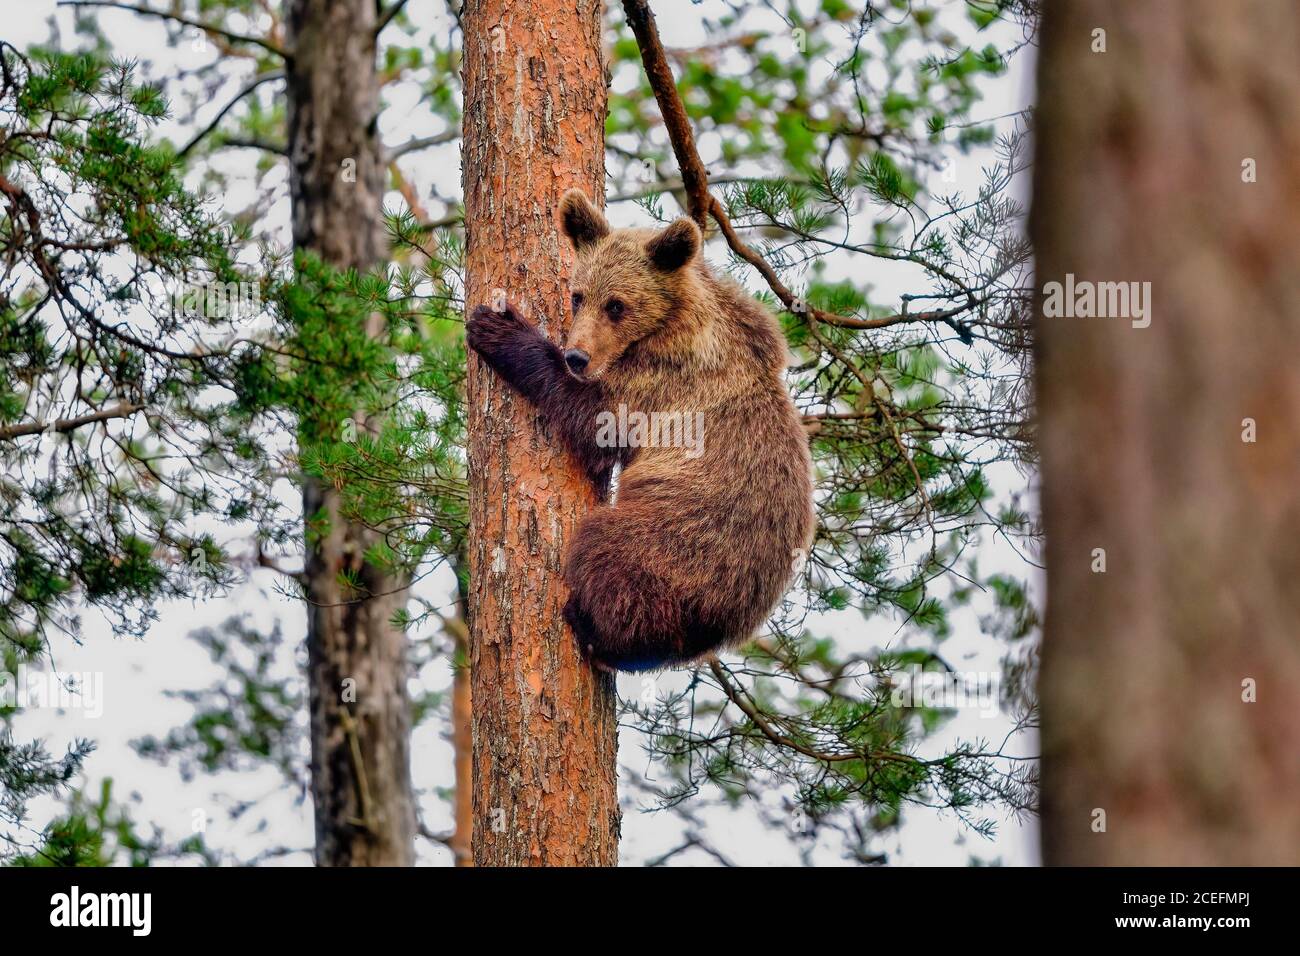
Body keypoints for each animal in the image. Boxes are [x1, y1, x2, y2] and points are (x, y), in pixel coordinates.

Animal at [466, 188, 814, 672]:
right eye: (578, 297)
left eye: (616, 305)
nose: (577, 356)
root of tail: (721, 621)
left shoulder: (660, 384)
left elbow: (591, 420)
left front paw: (498, 327)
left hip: (677, 543)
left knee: (608, 552)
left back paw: (592, 626)